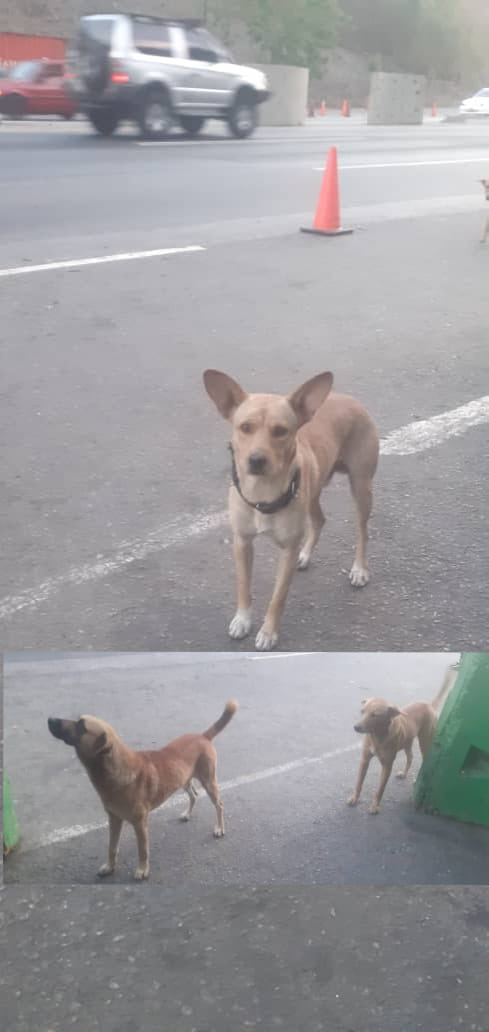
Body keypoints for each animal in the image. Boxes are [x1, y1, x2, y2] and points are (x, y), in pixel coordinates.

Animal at [47, 701, 237, 879]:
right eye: (78, 721)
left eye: (81, 726)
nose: (50, 719)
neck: (115, 768)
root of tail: (202, 736)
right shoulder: (114, 819)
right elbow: (112, 847)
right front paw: (110, 867)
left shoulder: (140, 823)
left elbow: (143, 850)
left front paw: (142, 870)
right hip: (182, 779)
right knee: (194, 795)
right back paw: (187, 814)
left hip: (209, 782)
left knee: (219, 805)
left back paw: (219, 828)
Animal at [202, 367, 377, 648]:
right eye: (245, 427)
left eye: (281, 430)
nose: (256, 460)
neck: (262, 493)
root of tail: (350, 399)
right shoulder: (241, 542)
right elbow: (243, 586)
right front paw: (242, 619)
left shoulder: (287, 550)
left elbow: (278, 596)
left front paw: (268, 632)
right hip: (314, 490)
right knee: (319, 520)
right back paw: (305, 555)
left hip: (361, 487)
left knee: (362, 530)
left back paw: (359, 569)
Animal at [346, 660, 458, 813]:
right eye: (362, 711)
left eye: (375, 715)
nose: (356, 727)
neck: (377, 737)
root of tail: (428, 704)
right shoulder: (364, 760)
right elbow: (359, 782)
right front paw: (354, 798)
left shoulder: (387, 765)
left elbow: (380, 789)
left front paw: (375, 806)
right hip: (407, 742)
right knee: (410, 757)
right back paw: (404, 774)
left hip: (425, 741)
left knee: (424, 759)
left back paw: (417, 780)